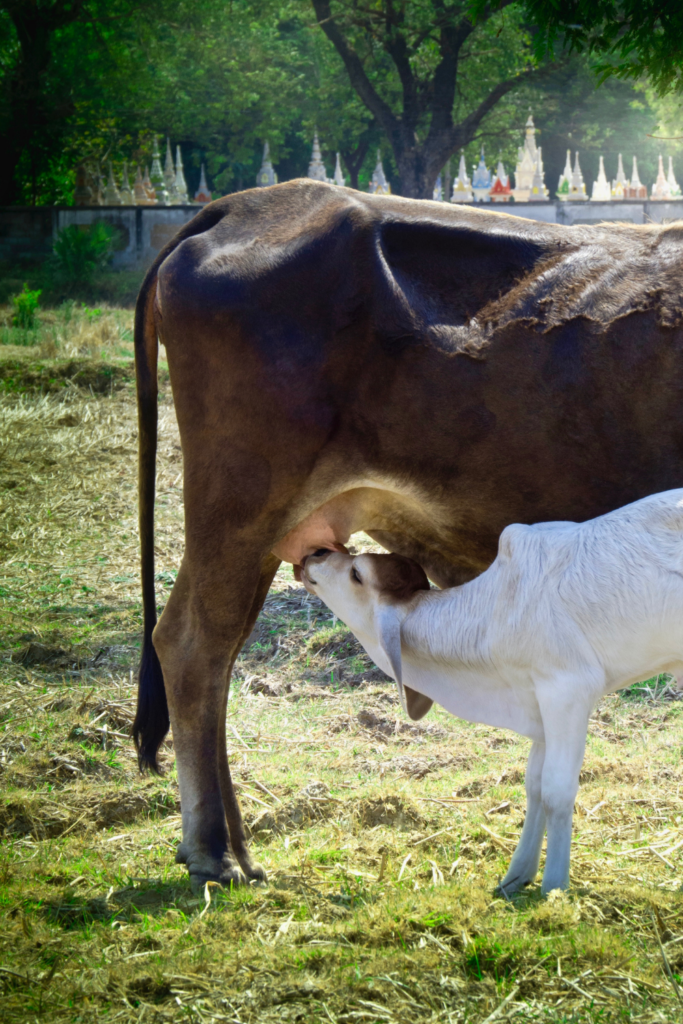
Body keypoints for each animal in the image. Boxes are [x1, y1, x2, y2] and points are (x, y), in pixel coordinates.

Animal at [301, 491, 683, 892]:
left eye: (357, 574)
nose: (316, 553)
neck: (494, 611)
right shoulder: (536, 704)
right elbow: (534, 787)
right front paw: (517, 876)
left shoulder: (567, 690)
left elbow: (556, 791)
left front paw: (554, 887)